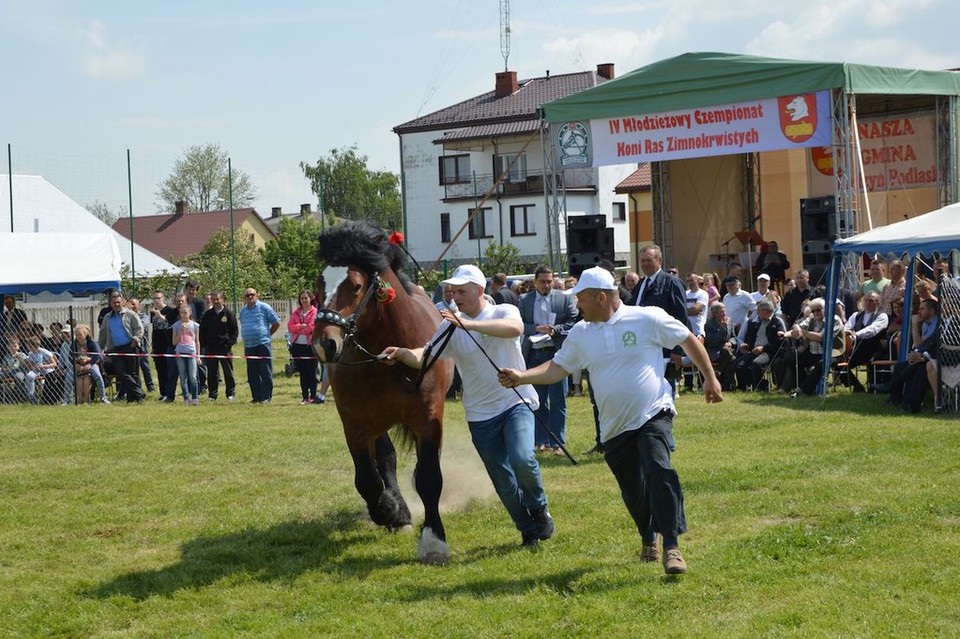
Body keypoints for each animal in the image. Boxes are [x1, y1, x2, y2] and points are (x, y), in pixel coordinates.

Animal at [312, 221, 454, 564]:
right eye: (318, 283)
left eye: (355, 285)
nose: (324, 344)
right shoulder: (355, 424)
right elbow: (367, 478)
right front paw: (389, 510)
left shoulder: (428, 417)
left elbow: (429, 477)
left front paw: (434, 540)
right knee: (386, 459)